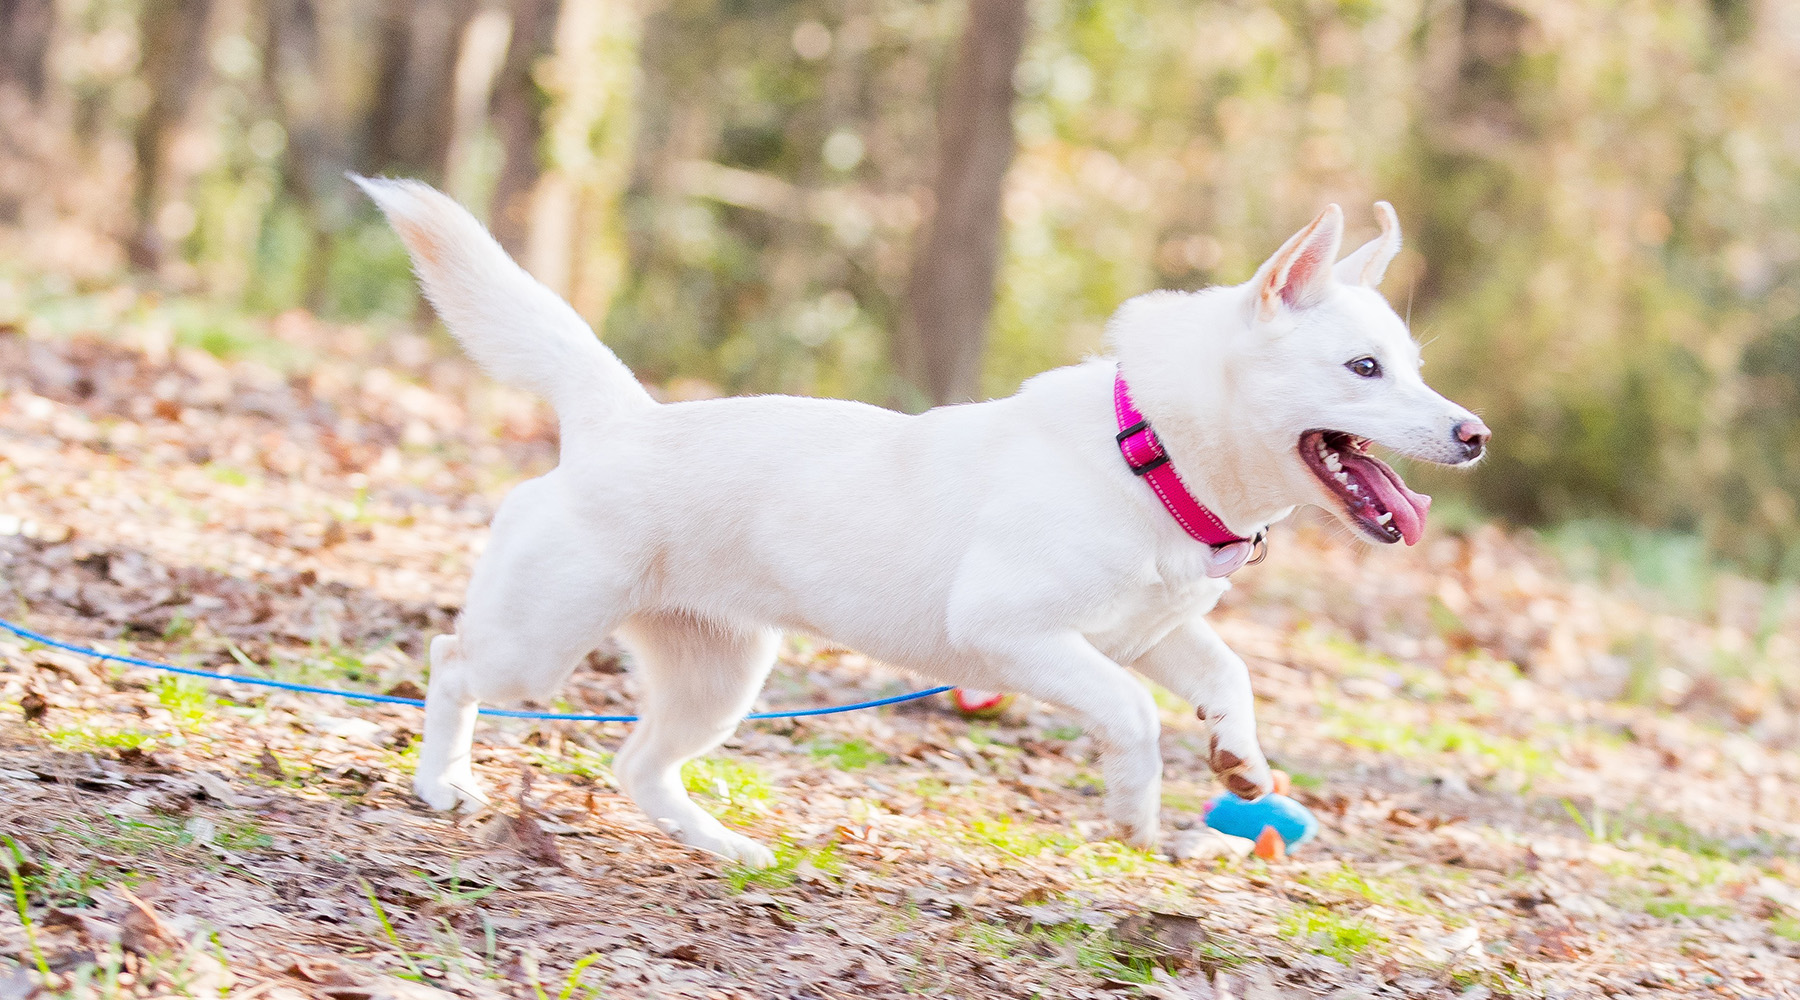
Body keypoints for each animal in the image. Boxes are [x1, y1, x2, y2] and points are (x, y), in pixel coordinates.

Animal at [358, 179, 1483, 866]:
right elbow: (1132, 714)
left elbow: (1227, 676)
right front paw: (1134, 805)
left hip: (722, 675)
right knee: (450, 663)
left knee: (636, 766)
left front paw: (1241, 759)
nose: (1475, 434)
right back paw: (443, 782)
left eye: (1418, 367)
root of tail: (618, 418)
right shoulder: (1016, 633)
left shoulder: (1153, 630)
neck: (1151, 455)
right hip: (538, 641)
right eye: (1364, 368)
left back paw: (722, 846)